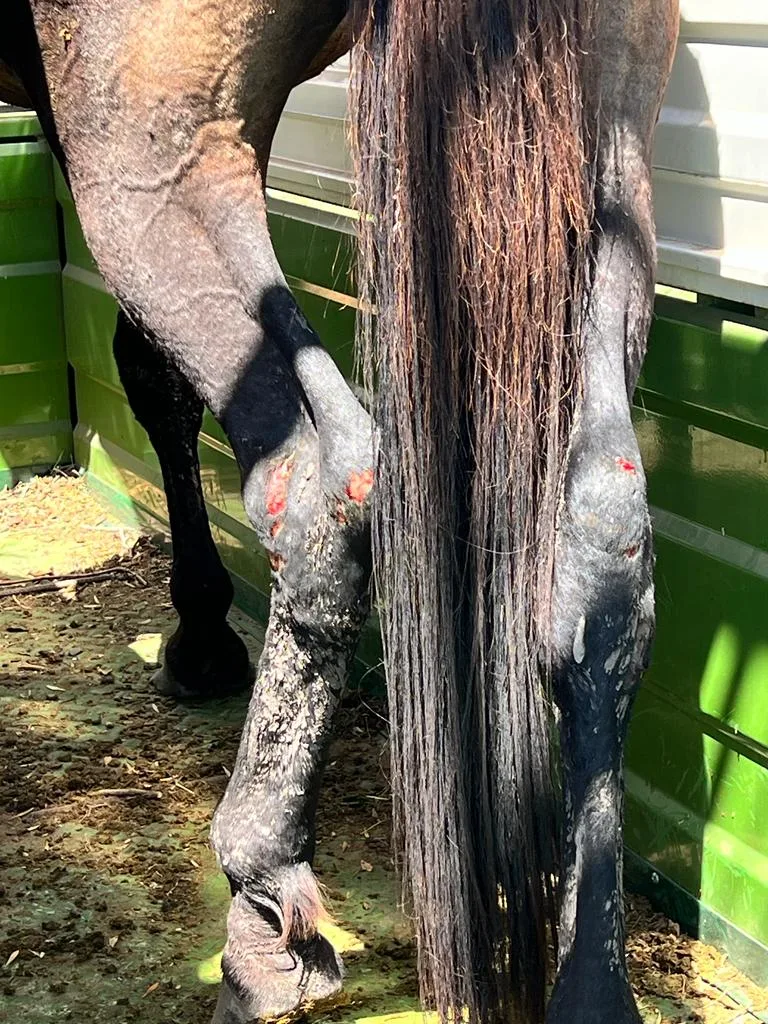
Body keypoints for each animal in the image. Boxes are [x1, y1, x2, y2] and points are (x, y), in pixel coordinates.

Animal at [1, 2, 679, 1022]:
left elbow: (152, 378)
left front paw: (202, 634)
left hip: (147, 149)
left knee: (320, 485)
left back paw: (259, 917)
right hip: (616, 124)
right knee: (602, 523)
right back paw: (594, 987)